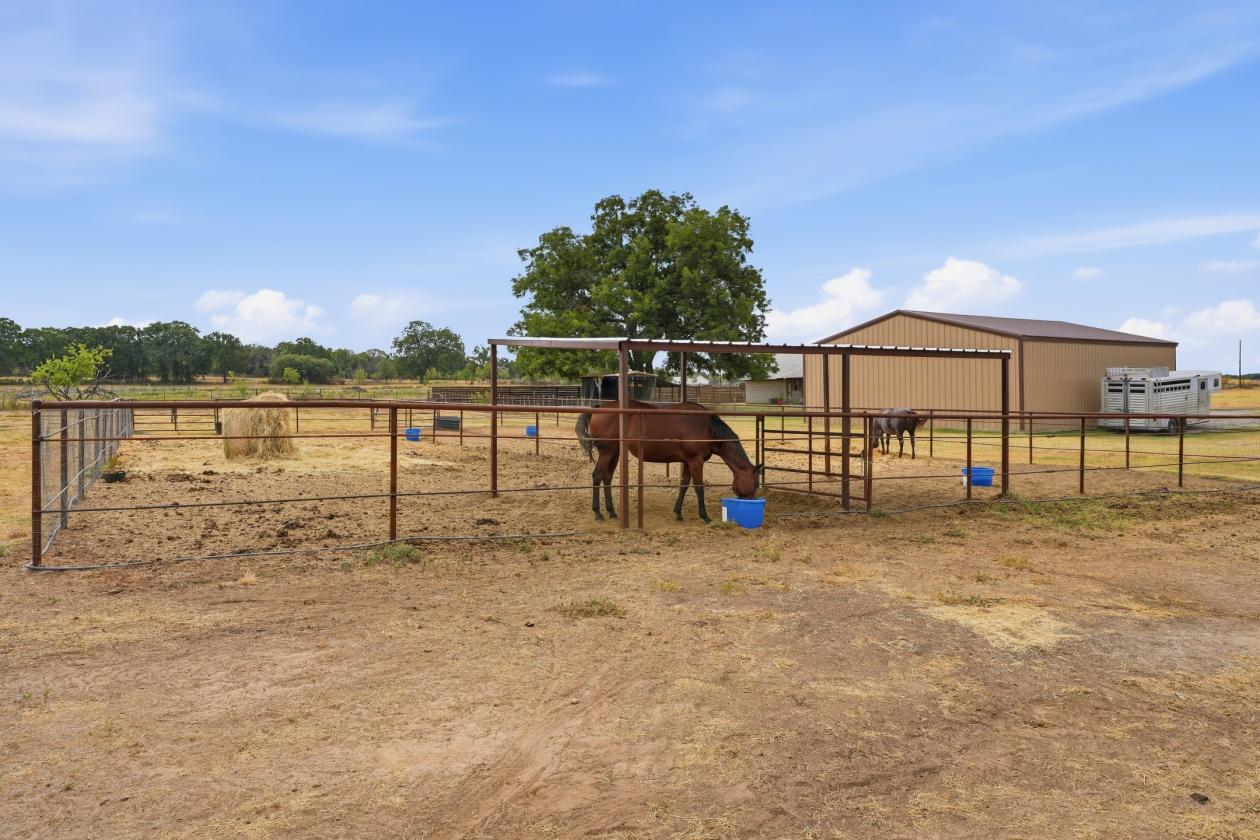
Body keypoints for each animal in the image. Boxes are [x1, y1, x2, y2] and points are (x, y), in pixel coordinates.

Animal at [575, 400, 761, 523]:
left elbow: (684, 485)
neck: (708, 427)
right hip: (607, 452)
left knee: (606, 477)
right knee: (597, 476)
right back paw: (598, 513)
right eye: (755, 483)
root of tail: (599, 408)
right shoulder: (696, 461)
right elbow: (699, 488)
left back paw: (612, 512)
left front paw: (678, 513)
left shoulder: (688, 461)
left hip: (615, 452)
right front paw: (705, 516)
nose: (752, 501)